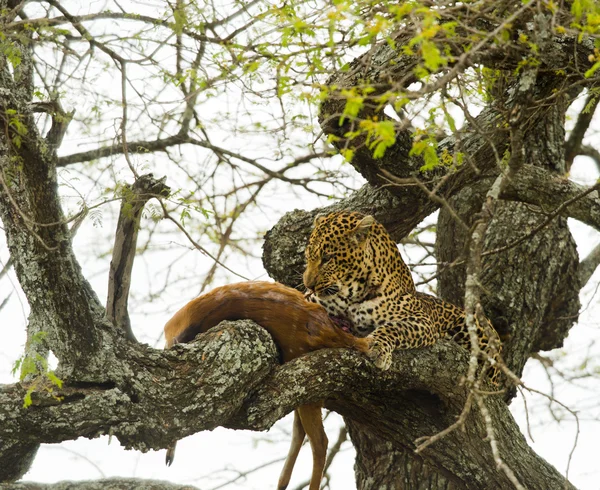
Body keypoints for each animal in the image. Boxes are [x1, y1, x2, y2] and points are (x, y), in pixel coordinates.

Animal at [302, 211, 504, 386]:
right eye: (307, 256)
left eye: (327, 258)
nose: (308, 284)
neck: (352, 292)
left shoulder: (422, 320)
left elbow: (394, 327)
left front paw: (378, 346)